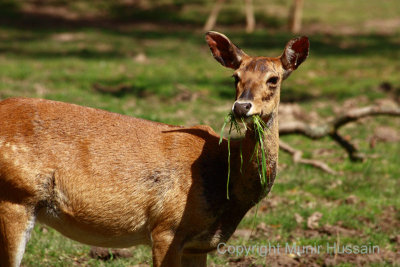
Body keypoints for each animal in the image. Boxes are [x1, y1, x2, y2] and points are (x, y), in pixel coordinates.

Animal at [0, 31, 310, 267]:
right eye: (235, 76)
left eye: (274, 79)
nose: (242, 107)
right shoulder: (166, 227)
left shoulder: (199, 245)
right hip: (15, 196)